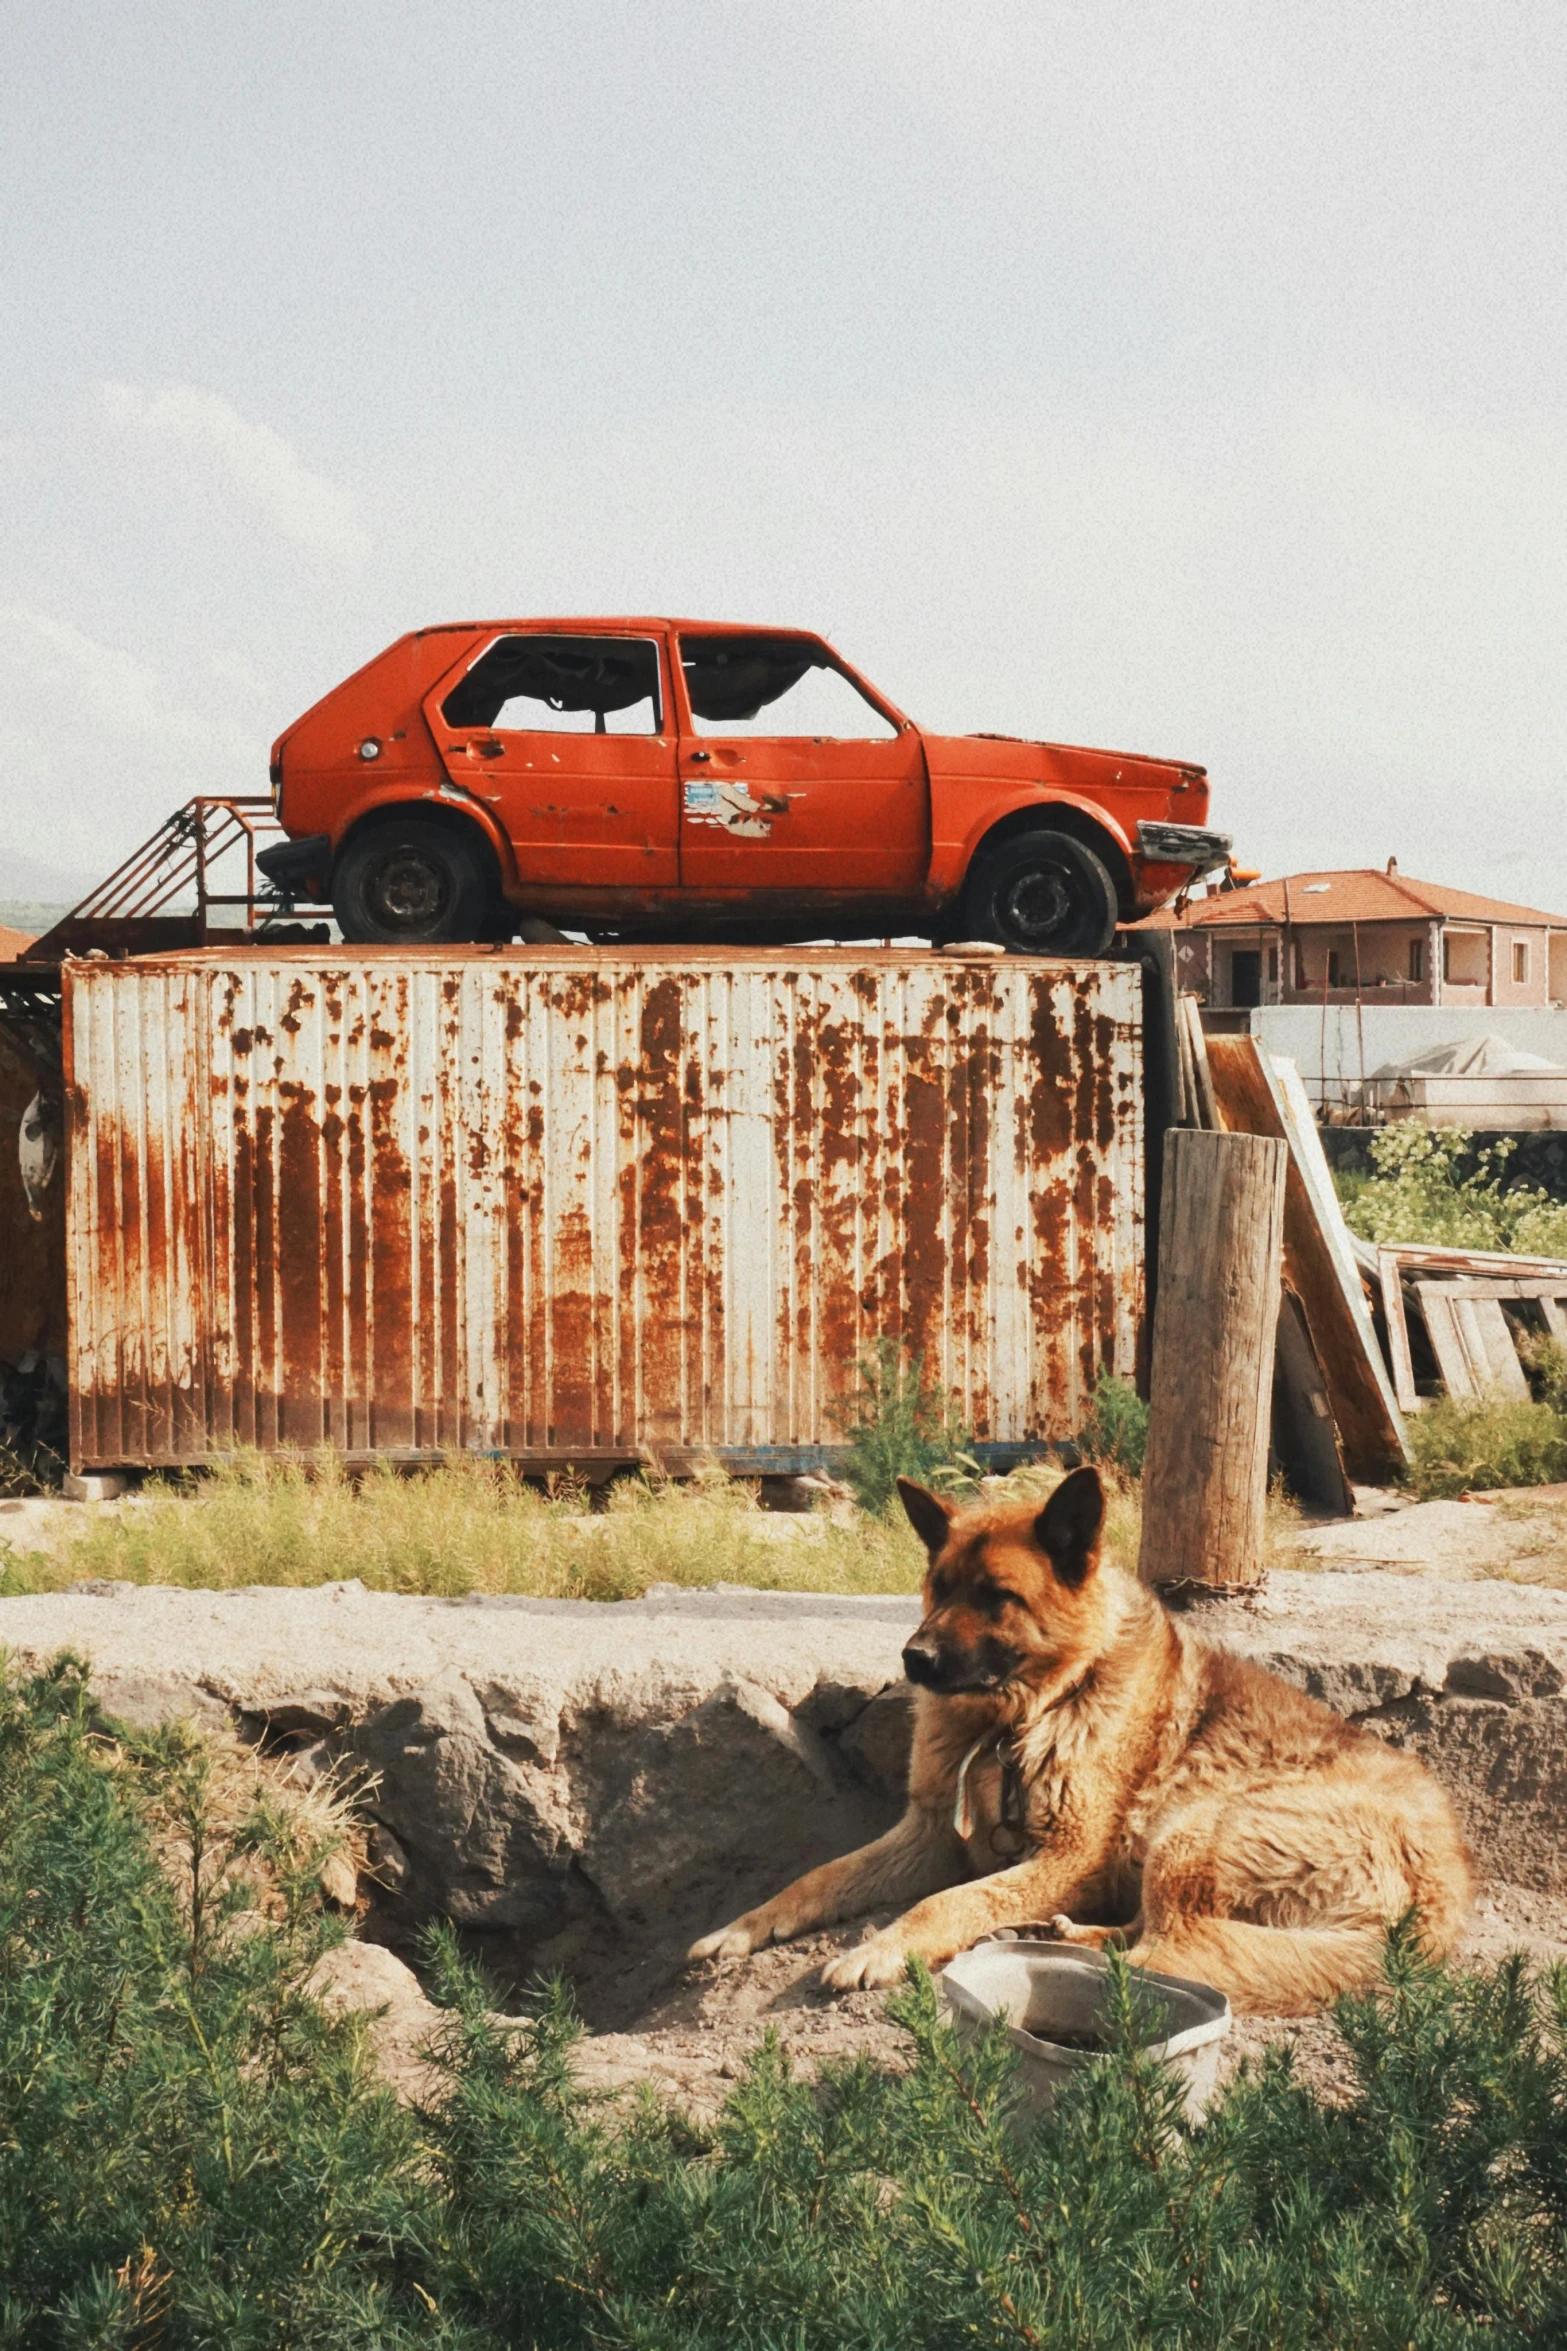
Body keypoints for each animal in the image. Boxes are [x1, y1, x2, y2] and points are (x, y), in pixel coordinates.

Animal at [690, 1467, 1475, 2003]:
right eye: (938, 1588)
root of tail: (1442, 1895)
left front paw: (881, 1949)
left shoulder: (1071, 1854)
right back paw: (1066, 1934)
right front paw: (745, 1926)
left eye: (996, 1597)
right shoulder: (929, 1836)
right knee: (1155, 1937)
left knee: (1177, 1951)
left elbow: (950, 1900)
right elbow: (818, 1877)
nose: (914, 1659)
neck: (1029, 1710)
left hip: (1190, 1832)